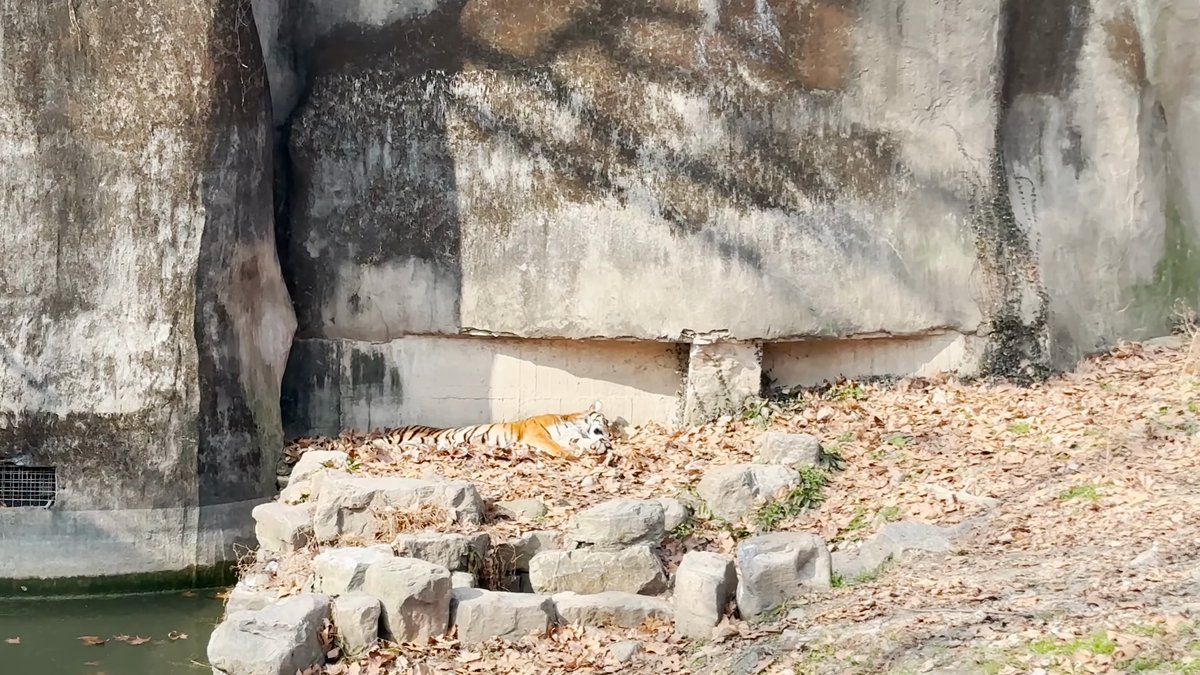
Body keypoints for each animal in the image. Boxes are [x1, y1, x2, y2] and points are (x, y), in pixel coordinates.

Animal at [385, 401, 613, 460]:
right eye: (606, 421)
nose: (610, 436)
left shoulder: (571, 437)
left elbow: (579, 443)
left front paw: (598, 447)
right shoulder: (537, 433)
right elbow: (556, 447)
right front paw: (572, 456)